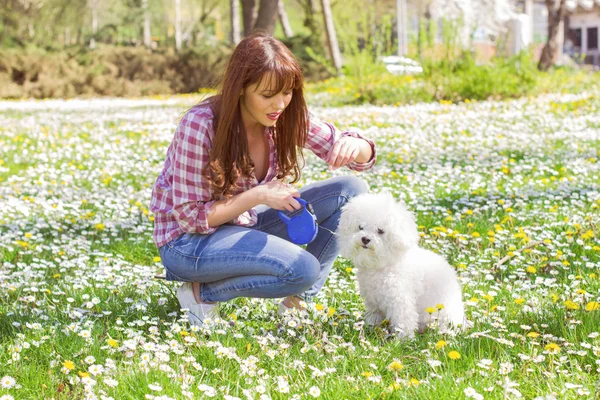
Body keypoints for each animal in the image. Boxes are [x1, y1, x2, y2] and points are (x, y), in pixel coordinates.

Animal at [336, 192, 466, 340]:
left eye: (380, 231)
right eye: (360, 227)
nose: (365, 239)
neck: (385, 265)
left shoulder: (400, 300)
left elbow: (404, 321)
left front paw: (403, 340)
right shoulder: (373, 303)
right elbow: (374, 318)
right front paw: (371, 330)